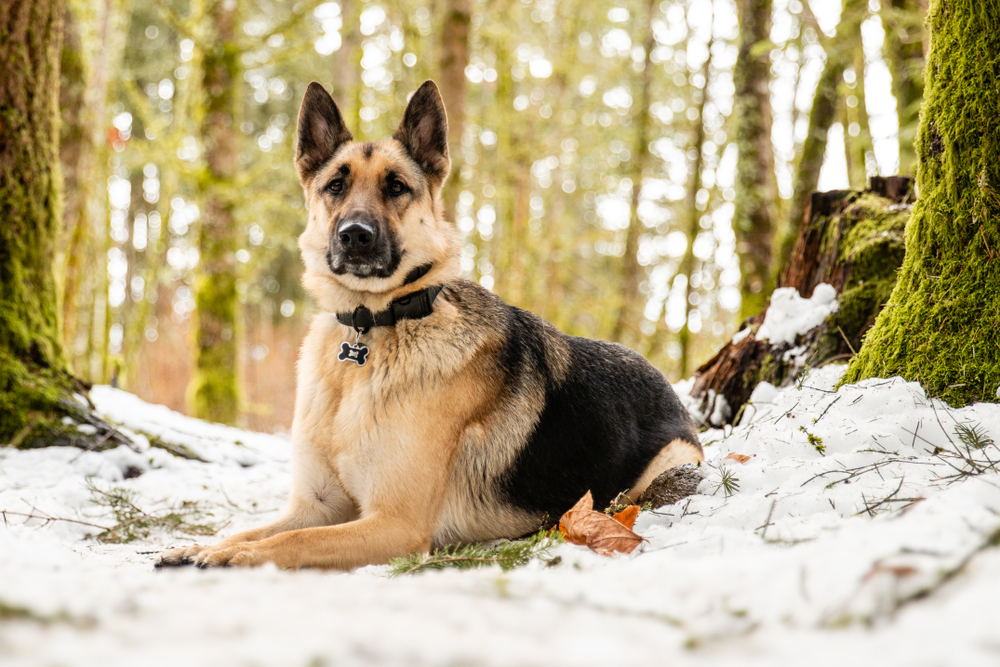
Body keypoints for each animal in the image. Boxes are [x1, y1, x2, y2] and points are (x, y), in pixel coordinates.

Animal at [160, 78, 700, 568]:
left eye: (396, 187)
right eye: (335, 186)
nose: (355, 235)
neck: (372, 328)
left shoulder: (394, 524)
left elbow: (290, 543)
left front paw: (233, 556)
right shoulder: (317, 506)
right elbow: (257, 529)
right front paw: (203, 545)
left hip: (665, 471)